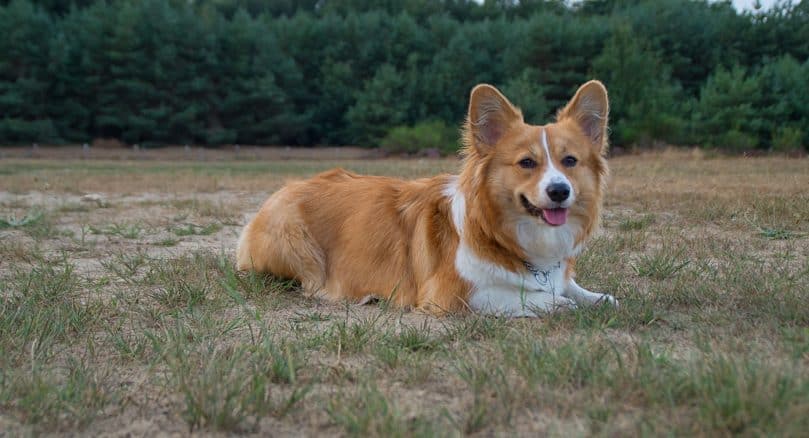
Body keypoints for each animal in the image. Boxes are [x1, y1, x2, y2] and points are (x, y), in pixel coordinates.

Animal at [237, 81, 616, 314]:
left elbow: (574, 287)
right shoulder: (453, 294)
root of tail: (282, 189)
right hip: (296, 244)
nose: (559, 191)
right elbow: (522, 296)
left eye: (570, 161)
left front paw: (597, 297)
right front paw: (555, 303)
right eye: (526, 163)